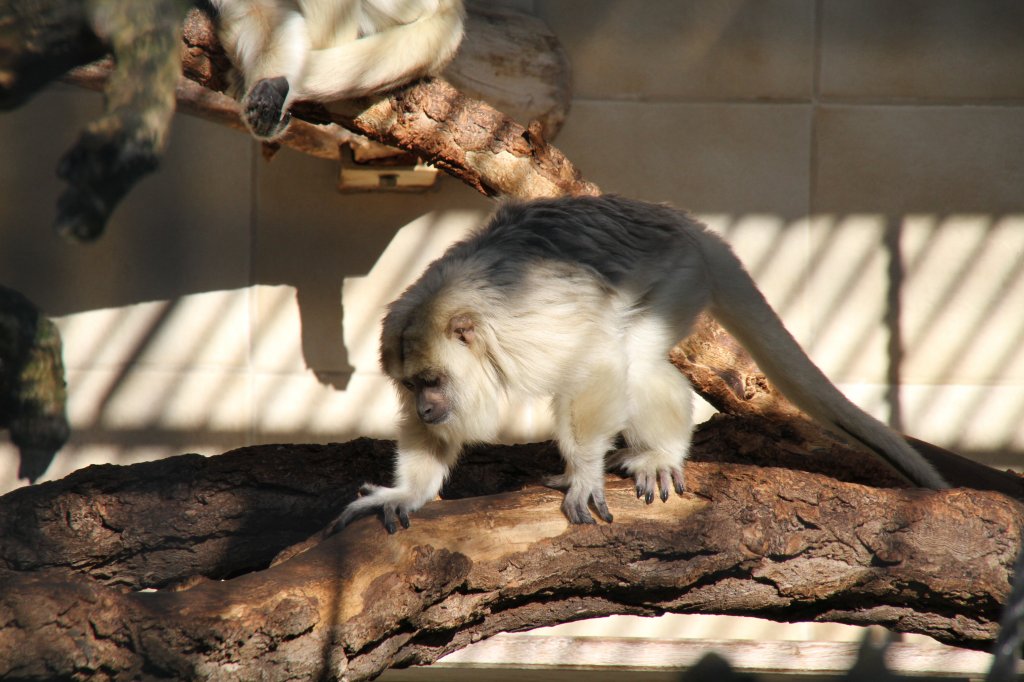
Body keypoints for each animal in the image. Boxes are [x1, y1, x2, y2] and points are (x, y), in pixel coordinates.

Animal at [337, 193, 950, 528]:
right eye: (412, 386)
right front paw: (408, 491)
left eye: (433, 379)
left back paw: (658, 453)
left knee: (634, 354)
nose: (427, 406)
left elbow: (597, 362)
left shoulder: (528, 332)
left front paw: (584, 472)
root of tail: (686, 224)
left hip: (681, 275)